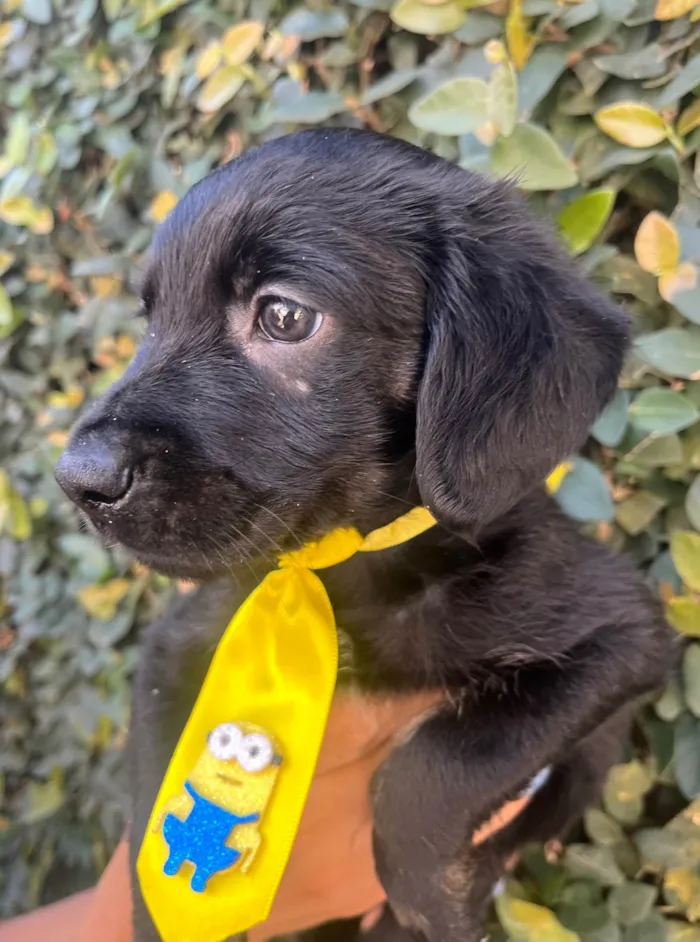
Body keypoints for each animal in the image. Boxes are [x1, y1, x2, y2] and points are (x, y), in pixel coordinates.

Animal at [56, 131, 672, 942]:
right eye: (149, 319)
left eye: (285, 316)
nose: (78, 480)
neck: (346, 571)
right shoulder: (174, 651)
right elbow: (152, 819)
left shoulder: (623, 634)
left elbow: (438, 762)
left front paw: (431, 894)